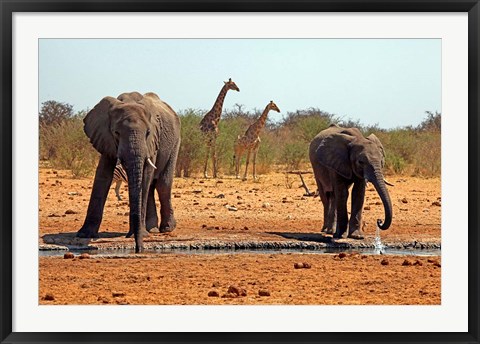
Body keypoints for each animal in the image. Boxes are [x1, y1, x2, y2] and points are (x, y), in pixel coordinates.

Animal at [77, 91, 182, 253]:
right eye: (116, 133)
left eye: (148, 132)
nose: (139, 249)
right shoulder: (106, 138)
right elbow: (102, 175)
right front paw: (84, 234)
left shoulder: (152, 142)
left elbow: (145, 175)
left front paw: (140, 234)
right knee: (151, 187)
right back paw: (151, 229)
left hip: (175, 142)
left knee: (162, 184)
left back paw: (165, 229)